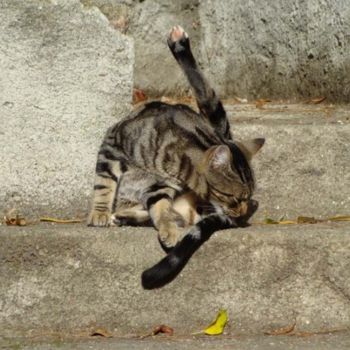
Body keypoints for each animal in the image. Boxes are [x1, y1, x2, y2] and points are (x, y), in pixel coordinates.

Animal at [89, 25, 264, 290]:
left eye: (246, 198)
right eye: (234, 198)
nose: (241, 214)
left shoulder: (161, 185)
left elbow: (161, 208)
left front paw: (168, 230)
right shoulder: (113, 145)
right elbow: (104, 183)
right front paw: (98, 213)